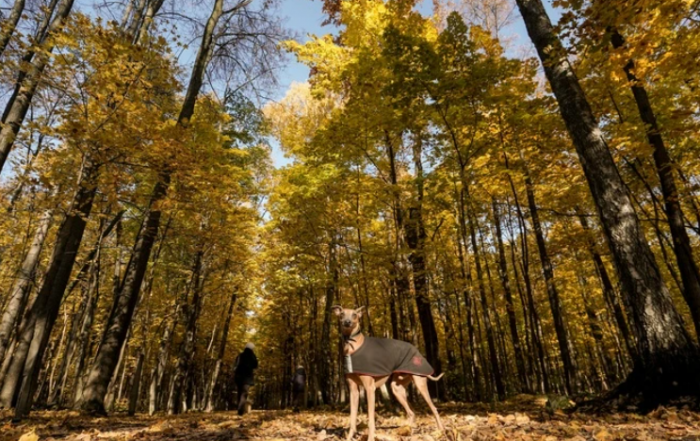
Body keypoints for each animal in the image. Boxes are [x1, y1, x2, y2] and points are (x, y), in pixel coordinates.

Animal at [332, 304, 442, 440]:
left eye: (354, 315)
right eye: (342, 314)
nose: (347, 322)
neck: (353, 346)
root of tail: (415, 350)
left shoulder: (370, 388)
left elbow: (371, 420)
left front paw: (370, 437)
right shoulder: (353, 390)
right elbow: (352, 420)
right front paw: (349, 437)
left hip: (420, 383)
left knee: (434, 409)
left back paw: (441, 431)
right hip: (397, 388)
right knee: (411, 413)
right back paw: (407, 431)